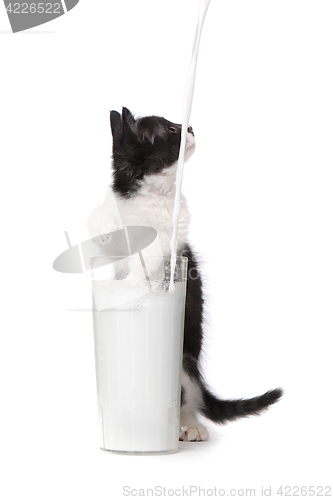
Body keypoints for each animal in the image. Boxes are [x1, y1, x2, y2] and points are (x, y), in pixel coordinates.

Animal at [87, 106, 282, 442]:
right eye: (171, 131)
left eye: (179, 126)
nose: (191, 127)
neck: (154, 192)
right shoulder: (120, 206)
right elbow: (101, 217)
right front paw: (101, 230)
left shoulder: (172, 234)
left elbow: (149, 255)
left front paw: (133, 282)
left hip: (185, 358)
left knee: (186, 398)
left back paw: (190, 426)